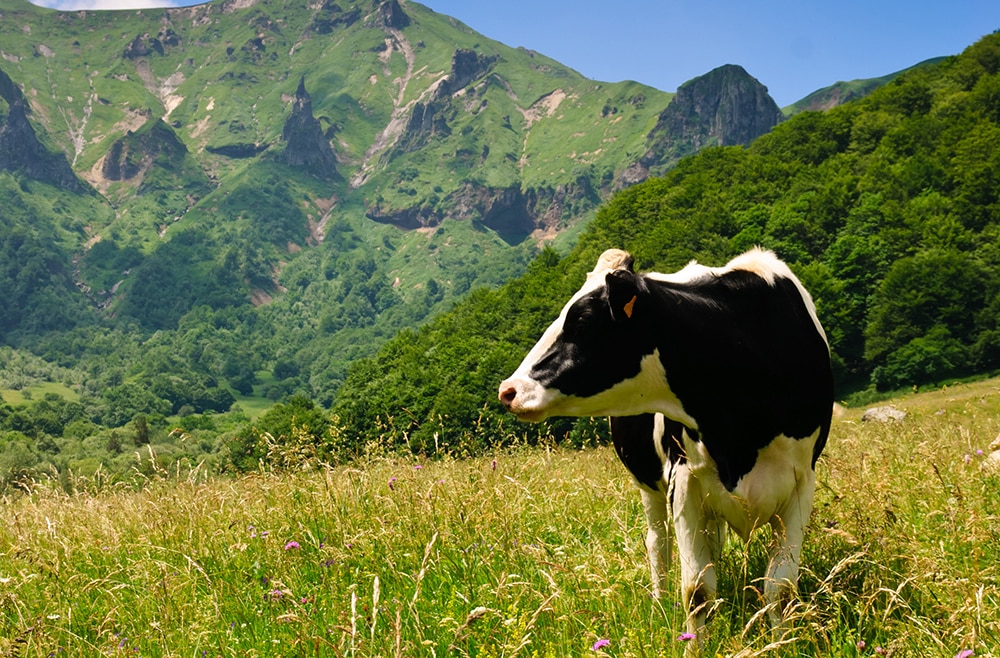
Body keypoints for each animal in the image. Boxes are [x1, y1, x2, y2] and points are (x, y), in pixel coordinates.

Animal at [498, 248, 833, 652]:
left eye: (582, 320)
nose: (508, 390)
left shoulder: (801, 483)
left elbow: (780, 589)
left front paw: (782, 644)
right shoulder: (683, 480)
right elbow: (697, 590)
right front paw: (694, 645)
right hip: (650, 486)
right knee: (658, 543)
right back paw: (659, 602)